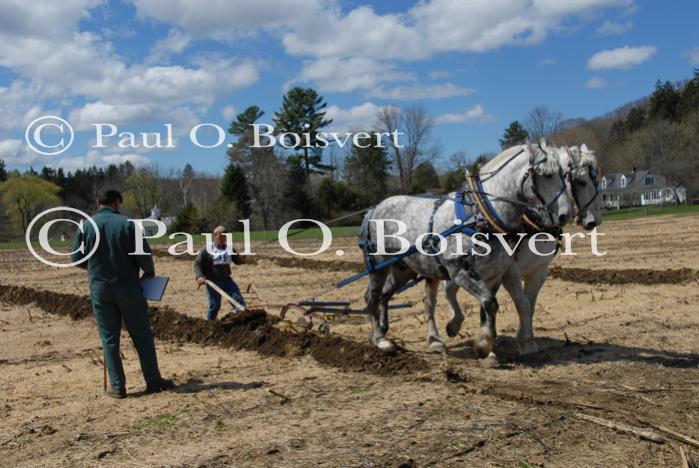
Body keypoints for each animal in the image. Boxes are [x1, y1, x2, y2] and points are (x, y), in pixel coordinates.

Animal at [360, 141, 576, 360]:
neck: (481, 215)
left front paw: (491, 342)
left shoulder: (498, 272)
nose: (566, 215)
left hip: (404, 268)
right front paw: (483, 344)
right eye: (546, 174)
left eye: (565, 174)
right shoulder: (460, 271)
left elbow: (497, 306)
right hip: (379, 264)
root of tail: (375, 208)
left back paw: (388, 330)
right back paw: (380, 340)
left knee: (386, 294)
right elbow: (489, 302)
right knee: (372, 297)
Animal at [446, 143, 604, 354]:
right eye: (581, 181)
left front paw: (526, 340)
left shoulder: (539, 270)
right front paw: (511, 341)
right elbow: (520, 303)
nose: (594, 221)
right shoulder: (508, 270)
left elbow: (530, 304)